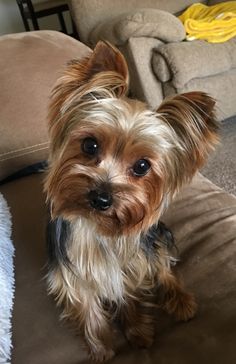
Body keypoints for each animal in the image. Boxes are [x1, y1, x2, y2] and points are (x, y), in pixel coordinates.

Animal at [44, 40, 219, 362]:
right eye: (90, 145)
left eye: (141, 166)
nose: (101, 198)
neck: (100, 228)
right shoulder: (72, 275)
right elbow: (88, 309)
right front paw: (101, 349)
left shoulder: (131, 263)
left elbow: (129, 295)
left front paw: (137, 332)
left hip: (156, 237)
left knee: (163, 267)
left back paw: (181, 302)